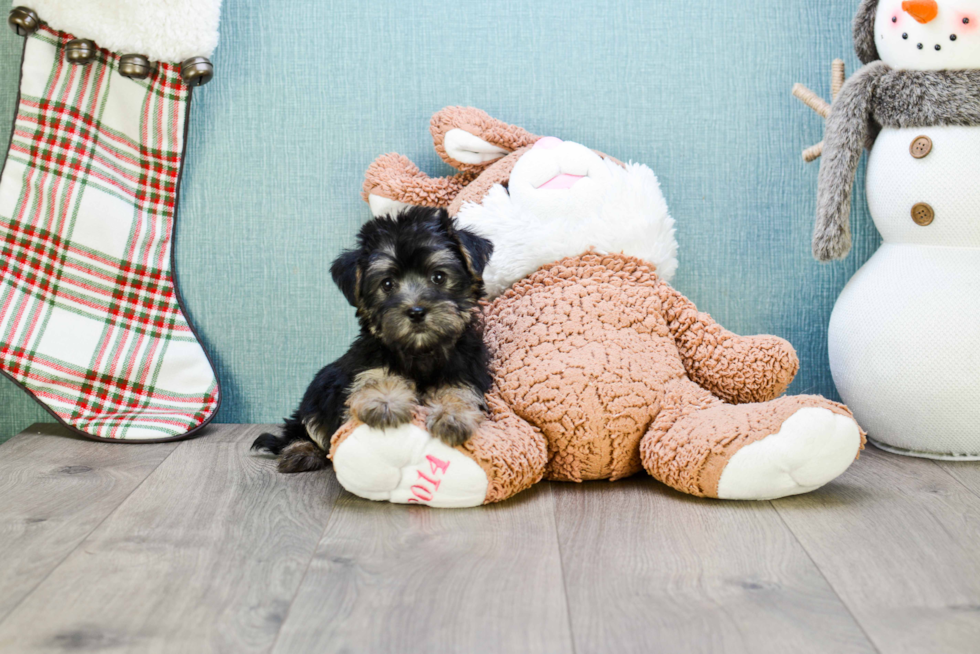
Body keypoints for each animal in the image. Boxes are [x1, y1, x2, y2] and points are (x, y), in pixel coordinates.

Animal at [253, 208, 494, 474]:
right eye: (387, 283)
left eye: (438, 277)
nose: (416, 311)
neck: (419, 350)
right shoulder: (368, 358)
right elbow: (377, 374)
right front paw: (384, 400)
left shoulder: (467, 367)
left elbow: (459, 389)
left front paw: (453, 415)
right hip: (318, 391)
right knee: (307, 426)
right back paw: (301, 451)